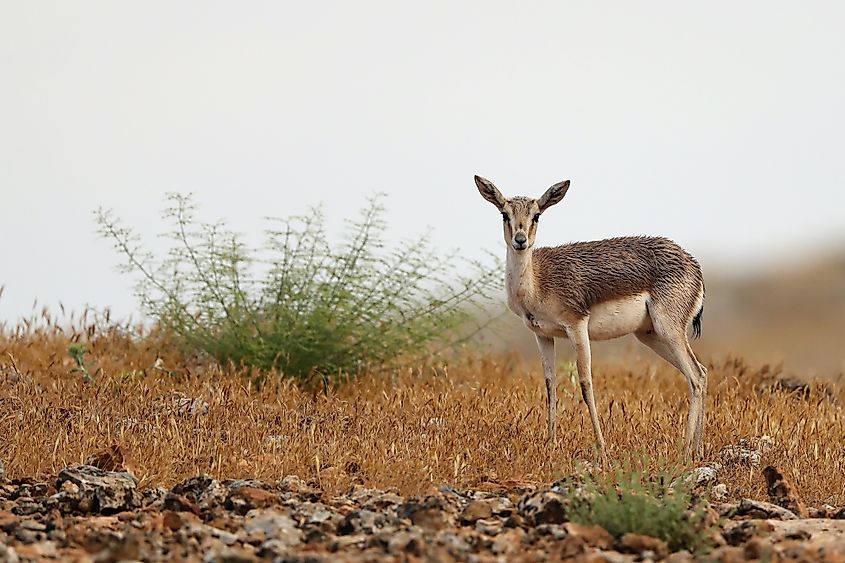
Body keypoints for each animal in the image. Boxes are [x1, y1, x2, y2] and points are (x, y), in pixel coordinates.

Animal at [475, 176, 707, 460]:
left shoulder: (577, 326)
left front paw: (602, 449)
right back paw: (697, 450)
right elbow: (550, 384)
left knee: (695, 377)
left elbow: (586, 383)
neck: (537, 281)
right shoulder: (542, 335)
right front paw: (551, 444)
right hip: (651, 336)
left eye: (537, 215)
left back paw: (684, 452)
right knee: (701, 373)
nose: (520, 240)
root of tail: (694, 265)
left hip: (669, 331)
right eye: (504, 214)